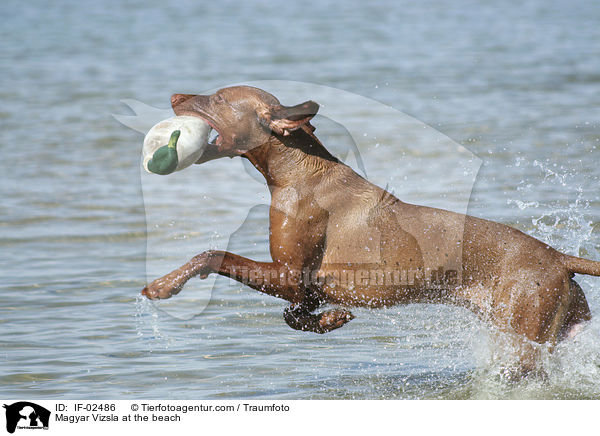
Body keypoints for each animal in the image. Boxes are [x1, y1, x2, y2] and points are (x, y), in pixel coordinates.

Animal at [141, 85, 596, 374]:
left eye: (217, 98)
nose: (174, 96)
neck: (296, 171)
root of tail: (558, 257)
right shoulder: (305, 287)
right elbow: (294, 316)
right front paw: (330, 320)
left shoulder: (290, 275)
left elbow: (212, 254)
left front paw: (163, 286)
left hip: (522, 337)